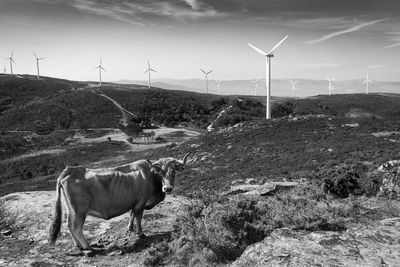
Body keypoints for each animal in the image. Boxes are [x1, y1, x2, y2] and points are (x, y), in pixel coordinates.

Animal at [48, 154, 189, 254]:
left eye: (174, 171)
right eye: (161, 172)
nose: (168, 188)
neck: (151, 176)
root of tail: (73, 170)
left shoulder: (134, 203)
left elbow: (131, 215)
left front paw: (130, 228)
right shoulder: (141, 202)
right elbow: (138, 217)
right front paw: (140, 233)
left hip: (71, 209)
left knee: (69, 225)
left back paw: (78, 245)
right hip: (80, 211)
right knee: (76, 227)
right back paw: (88, 247)